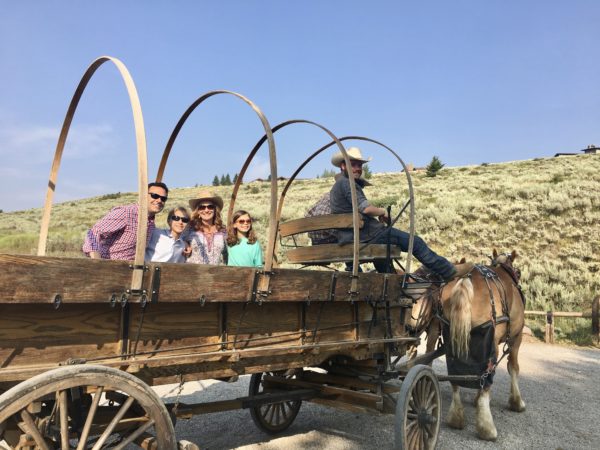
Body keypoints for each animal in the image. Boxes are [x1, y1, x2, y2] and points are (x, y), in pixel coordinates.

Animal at [408, 251, 524, 442]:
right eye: (519, 272)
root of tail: (466, 278)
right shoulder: (516, 337)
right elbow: (513, 367)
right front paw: (517, 402)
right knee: (485, 378)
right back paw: (486, 427)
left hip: (449, 335)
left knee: (454, 374)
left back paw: (456, 417)